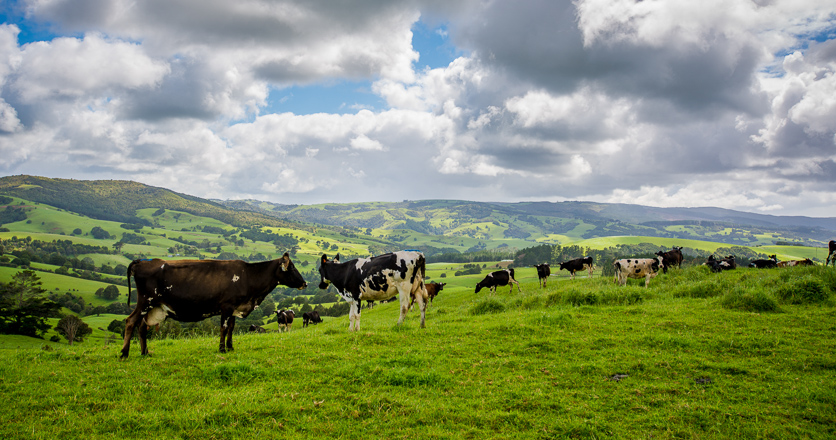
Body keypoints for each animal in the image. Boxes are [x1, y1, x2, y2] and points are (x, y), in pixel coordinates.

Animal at [121, 251, 306, 358]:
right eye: (291, 268)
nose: (305, 283)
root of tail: (142, 261)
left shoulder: (234, 308)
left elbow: (231, 328)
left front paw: (230, 347)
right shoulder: (227, 306)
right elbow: (223, 328)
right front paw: (222, 349)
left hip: (152, 307)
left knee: (142, 327)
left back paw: (145, 352)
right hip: (145, 301)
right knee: (130, 322)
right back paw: (124, 353)